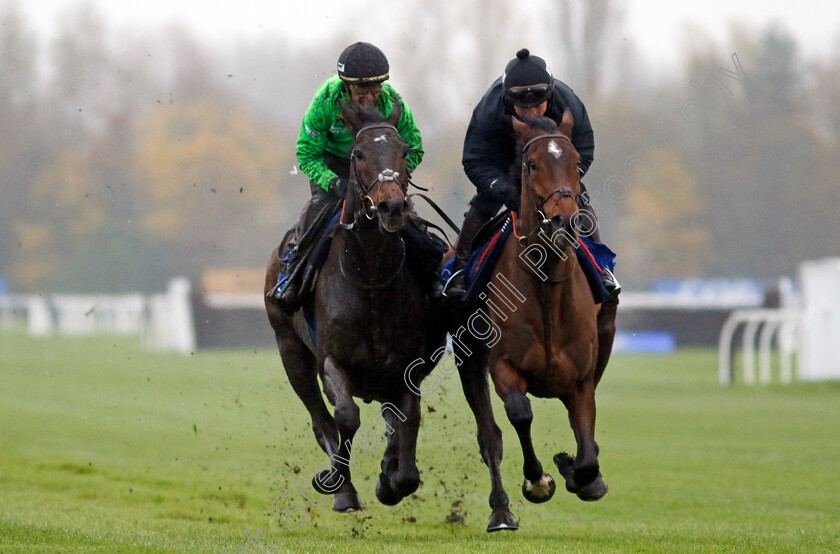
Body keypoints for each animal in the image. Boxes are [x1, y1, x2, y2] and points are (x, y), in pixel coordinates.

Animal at [264, 103, 446, 512]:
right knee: (320, 419)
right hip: (289, 350)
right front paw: (340, 485)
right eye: (358, 154)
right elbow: (345, 416)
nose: (391, 206)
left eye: (403, 152)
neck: (371, 278)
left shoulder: (409, 367)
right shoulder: (331, 360)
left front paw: (391, 479)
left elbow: (406, 425)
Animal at [452, 110, 616, 528]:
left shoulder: (581, 379)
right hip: (467, 357)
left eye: (575, 161)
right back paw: (500, 510)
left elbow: (587, 452)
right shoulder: (503, 366)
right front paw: (538, 480)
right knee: (489, 435)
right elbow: (519, 413)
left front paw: (574, 469)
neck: (545, 287)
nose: (564, 221)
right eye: (531, 164)